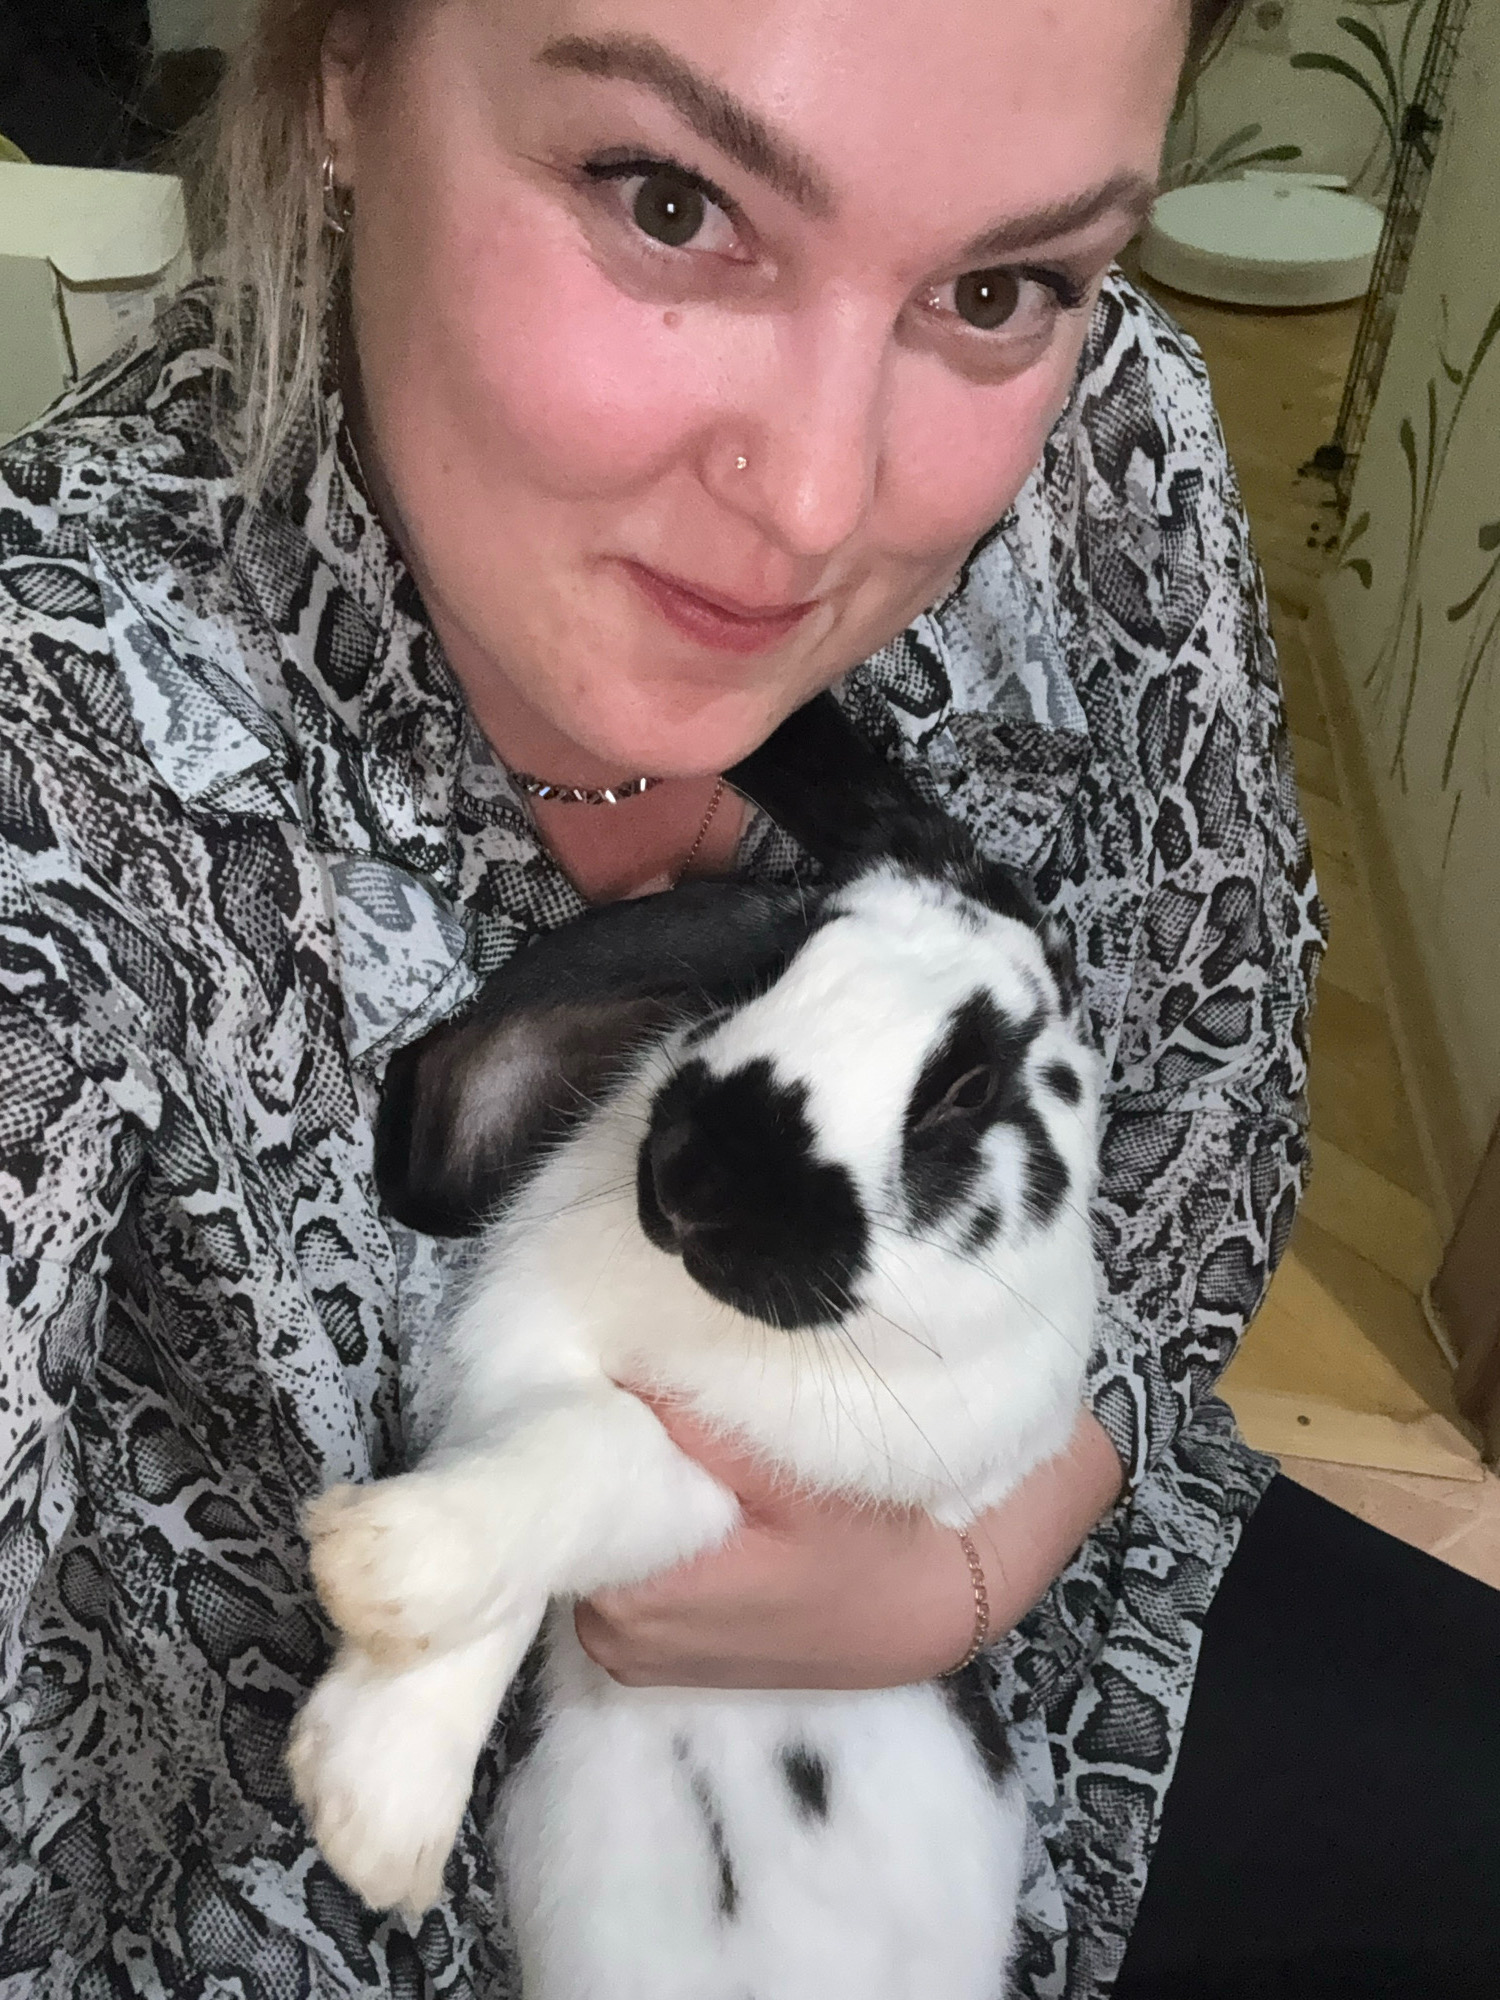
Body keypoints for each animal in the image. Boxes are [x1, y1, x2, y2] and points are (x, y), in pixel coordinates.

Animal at [287, 691, 1103, 2000]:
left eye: (967, 1087)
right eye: (776, 961)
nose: (688, 1175)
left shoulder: (743, 1489)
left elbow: (592, 1457)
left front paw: (381, 1594)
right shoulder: (527, 1356)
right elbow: (537, 1481)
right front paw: (381, 1786)